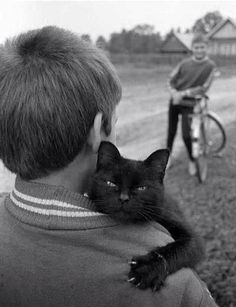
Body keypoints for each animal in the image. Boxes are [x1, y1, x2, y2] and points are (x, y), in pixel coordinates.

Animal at [88, 142, 205, 292]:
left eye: (141, 188)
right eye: (110, 183)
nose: (123, 198)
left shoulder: (193, 238)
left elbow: (178, 248)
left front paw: (147, 269)